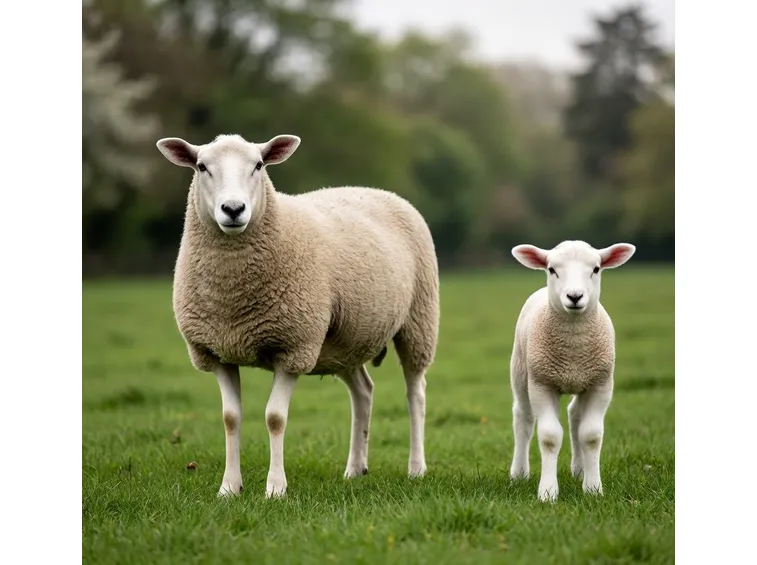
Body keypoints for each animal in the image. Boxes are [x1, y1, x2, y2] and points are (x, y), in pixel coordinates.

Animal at [155, 133, 439, 498]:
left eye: (259, 165)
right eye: (201, 166)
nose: (233, 210)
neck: (232, 294)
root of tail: (379, 190)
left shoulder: (294, 347)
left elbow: (275, 417)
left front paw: (276, 488)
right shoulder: (216, 351)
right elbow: (231, 418)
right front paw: (229, 488)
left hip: (418, 321)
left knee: (415, 394)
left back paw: (416, 468)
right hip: (343, 343)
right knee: (363, 392)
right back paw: (355, 469)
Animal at [508, 239, 636, 502]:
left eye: (596, 269)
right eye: (551, 269)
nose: (574, 296)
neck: (573, 352)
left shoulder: (600, 384)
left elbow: (591, 435)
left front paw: (593, 489)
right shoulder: (542, 383)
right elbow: (549, 437)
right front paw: (547, 493)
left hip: (582, 381)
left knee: (575, 415)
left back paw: (579, 470)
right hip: (521, 371)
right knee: (523, 418)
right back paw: (519, 473)